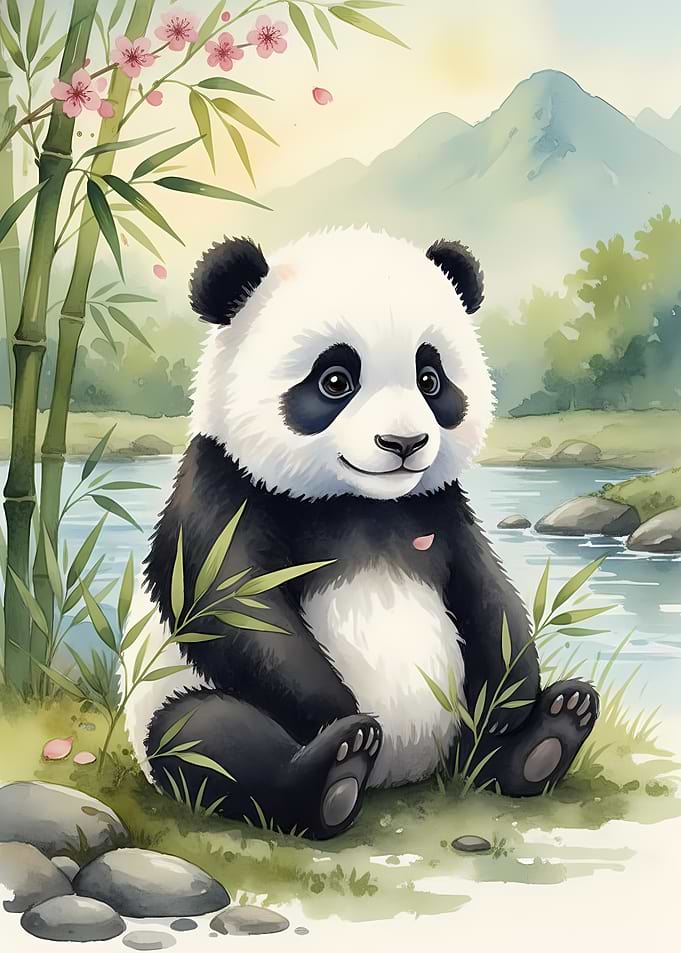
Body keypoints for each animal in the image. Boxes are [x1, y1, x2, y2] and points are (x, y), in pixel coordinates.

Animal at [122, 227, 599, 839]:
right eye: (335, 380)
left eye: (430, 379)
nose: (404, 443)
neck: (360, 503)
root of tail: (405, 772)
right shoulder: (225, 485)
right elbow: (227, 603)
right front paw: (337, 710)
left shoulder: (439, 507)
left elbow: (488, 592)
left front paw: (510, 702)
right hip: (173, 696)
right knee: (209, 739)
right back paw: (337, 770)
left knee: (477, 752)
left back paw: (547, 733)